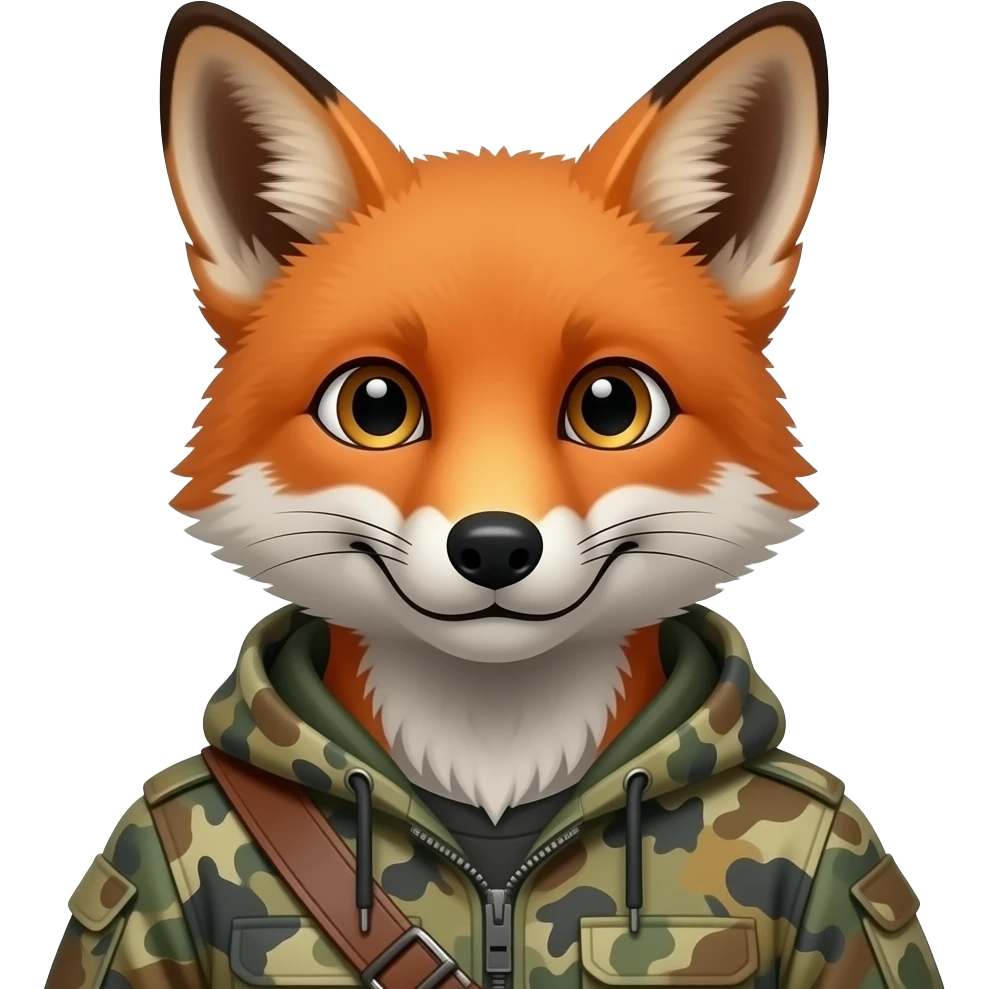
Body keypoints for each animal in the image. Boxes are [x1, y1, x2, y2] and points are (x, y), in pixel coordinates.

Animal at [44, 3, 944, 989]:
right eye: (374, 405)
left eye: (610, 405)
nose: (494, 547)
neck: (495, 777)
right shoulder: (132, 873)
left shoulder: (852, 867)